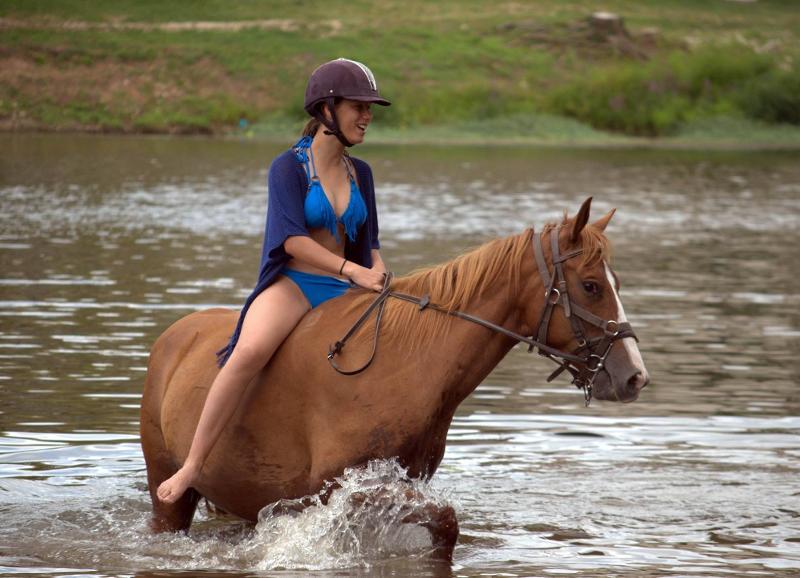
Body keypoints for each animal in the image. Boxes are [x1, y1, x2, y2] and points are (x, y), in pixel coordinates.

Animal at [139, 197, 649, 559]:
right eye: (591, 286)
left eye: (616, 283)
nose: (634, 377)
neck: (403, 364)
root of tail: (174, 336)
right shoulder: (341, 487)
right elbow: (447, 521)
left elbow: (442, 528)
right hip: (168, 495)